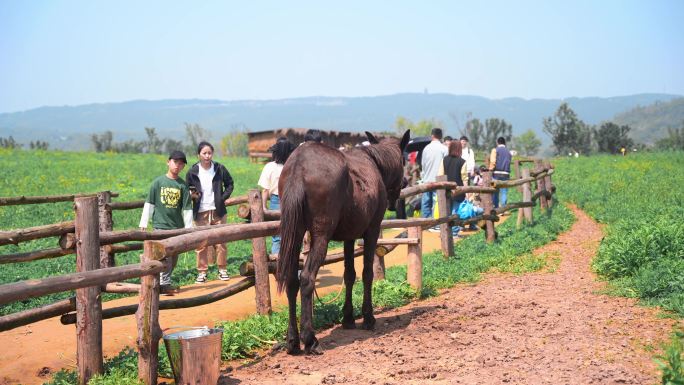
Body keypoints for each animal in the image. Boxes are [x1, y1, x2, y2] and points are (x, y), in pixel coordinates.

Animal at [276, 130, 408, 354]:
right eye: (404, 160)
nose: (404, 183)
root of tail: (298, 165)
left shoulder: (349, 236)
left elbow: (349, 274)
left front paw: (348, 318)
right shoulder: (371, 231)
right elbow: (367, 273)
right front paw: (368, 317)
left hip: (295, 233)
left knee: (292, 281)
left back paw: (293, 340)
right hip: (321, 236)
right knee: (307, 278)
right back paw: (309, 338)